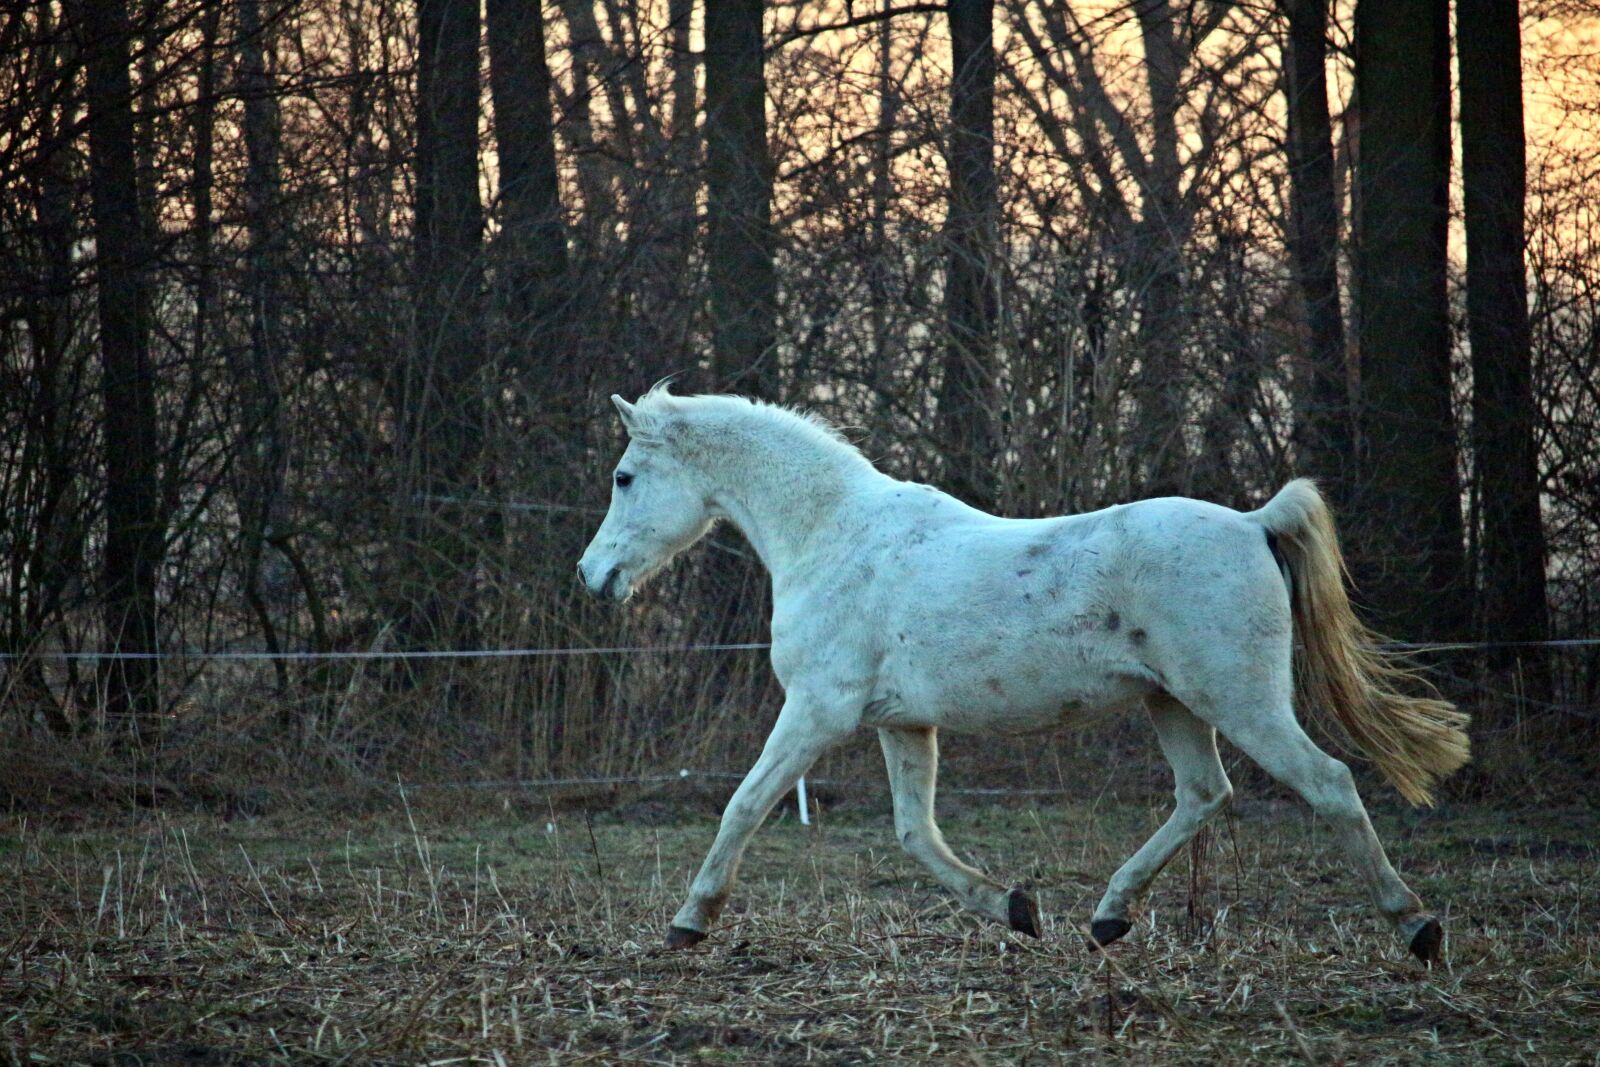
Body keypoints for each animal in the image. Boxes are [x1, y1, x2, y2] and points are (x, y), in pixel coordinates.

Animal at [577, 386, 1470, 962]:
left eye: (624, 477)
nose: (592, 575)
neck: (836, 535)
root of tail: (1255, 523)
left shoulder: (817, 712)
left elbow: (744, 803)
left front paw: (689, 921)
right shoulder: (902, 723)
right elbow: (915, 832)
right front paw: (1014, 907)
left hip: (1240, 700)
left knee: (1329, 784)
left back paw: (1418, 927)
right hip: (1175, 704)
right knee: (1203, 794)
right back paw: (1107, 918)